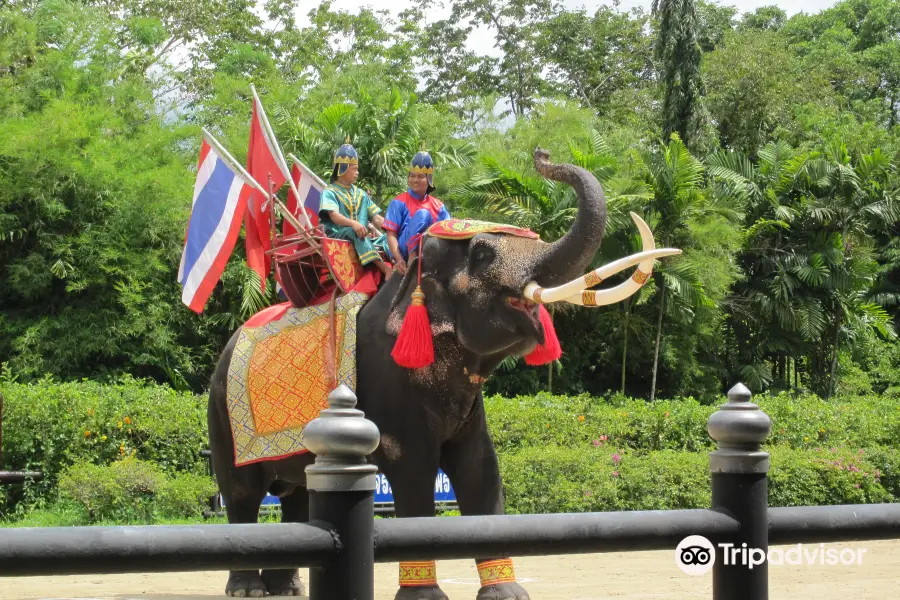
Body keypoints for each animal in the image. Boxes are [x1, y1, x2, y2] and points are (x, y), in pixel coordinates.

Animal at [207, 148, 676, 596]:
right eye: (483, 254)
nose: (542, 155)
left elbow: (481, 469)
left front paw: (507, 593)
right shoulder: (388, 378)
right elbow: (414, 471)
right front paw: (425, 595)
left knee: (298, 494)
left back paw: (286, 588)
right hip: (223, 413)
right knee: (243, 493)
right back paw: (248, 589)